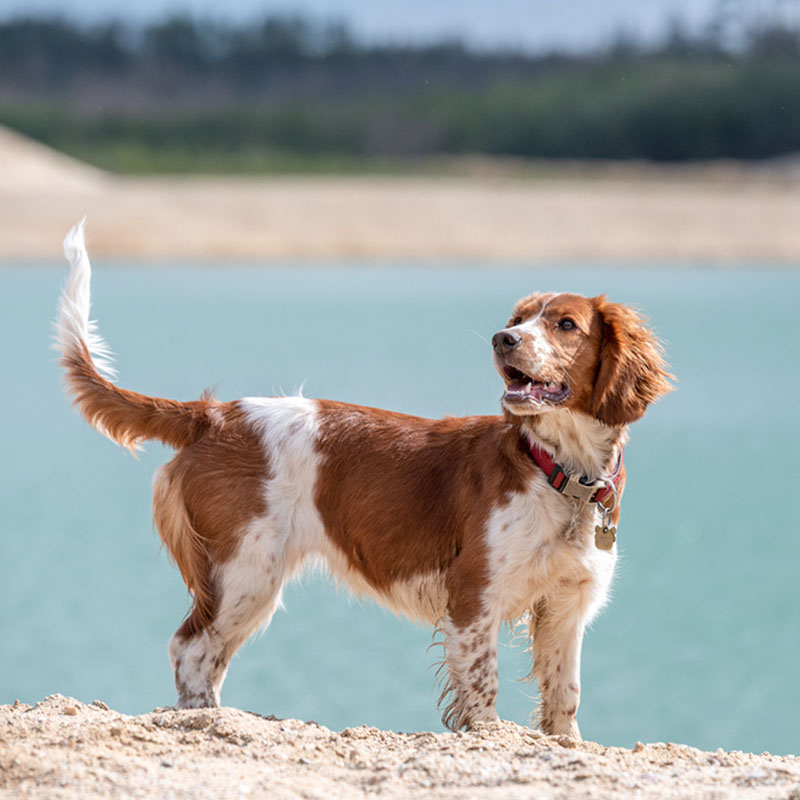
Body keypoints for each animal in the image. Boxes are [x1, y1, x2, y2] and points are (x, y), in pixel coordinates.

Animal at [54, 220, 668, 736]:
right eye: (518, 320)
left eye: (564, 324)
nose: (502, 339)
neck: (558, 469)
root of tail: (214, 414)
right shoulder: (474, 597)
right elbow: (483, 692)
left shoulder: (567, 605)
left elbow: (564, 699)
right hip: (243, 573)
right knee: (190, 649)